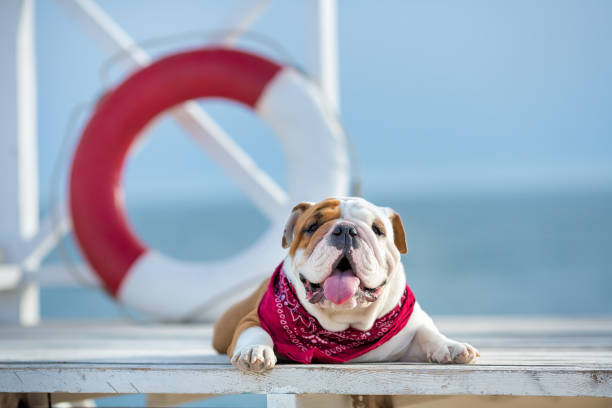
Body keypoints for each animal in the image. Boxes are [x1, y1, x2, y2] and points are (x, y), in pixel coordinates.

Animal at [213, 196, 480, 372]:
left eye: (377, 229)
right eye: (311, 227)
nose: (346, 230)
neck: (345, 324)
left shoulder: (412, 324)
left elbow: (427, 332)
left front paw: (451, 346)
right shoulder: (252, 319)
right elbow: (255, 331)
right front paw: (254, 350)